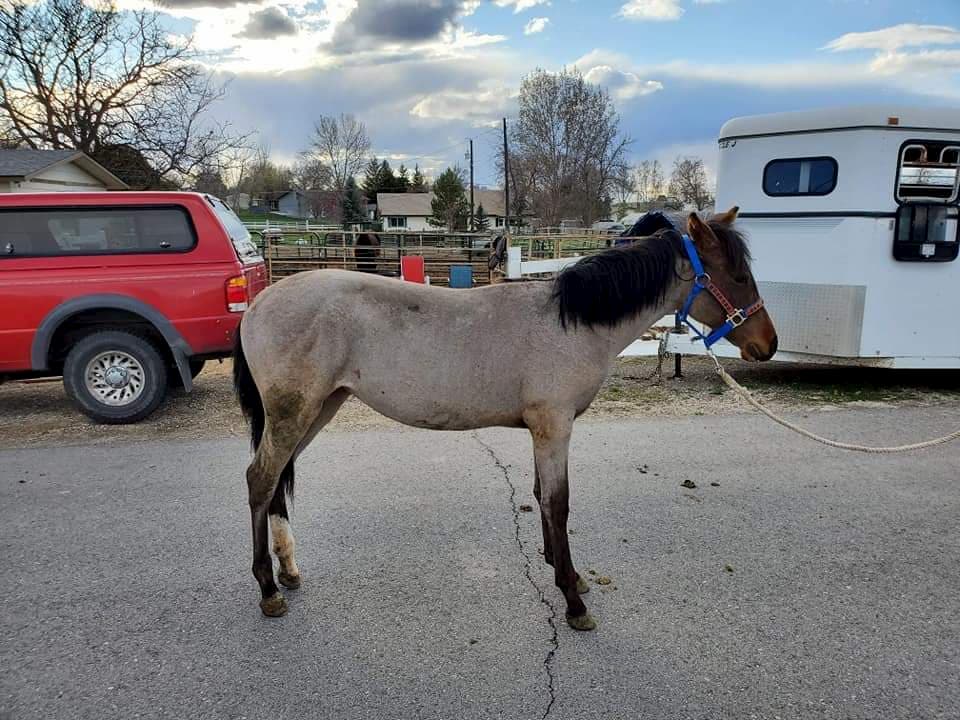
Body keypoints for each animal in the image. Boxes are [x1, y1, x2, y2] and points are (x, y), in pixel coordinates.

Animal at [234, 207, 780, 632]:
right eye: (736, 277)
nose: (767, 344)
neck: (571, 323)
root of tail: (259, 303)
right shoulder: (555, 426)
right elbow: (557, 503)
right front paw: (573, 601)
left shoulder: (544, 429)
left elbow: (541, 496)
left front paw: (565, 572)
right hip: (295, 411)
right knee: (261, 479)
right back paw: (268, 589)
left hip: (318, 409)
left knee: (277, 479)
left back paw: (288, 570)